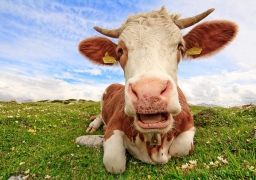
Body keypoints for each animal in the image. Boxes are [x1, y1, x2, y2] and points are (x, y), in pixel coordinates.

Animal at [76, 6, 238, 174]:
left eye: (180, 45)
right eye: (120, 50)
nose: (149, 94)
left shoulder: (189, 126)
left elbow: (181, 149)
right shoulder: (113, 127)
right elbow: (114, 162)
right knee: (100, 116)